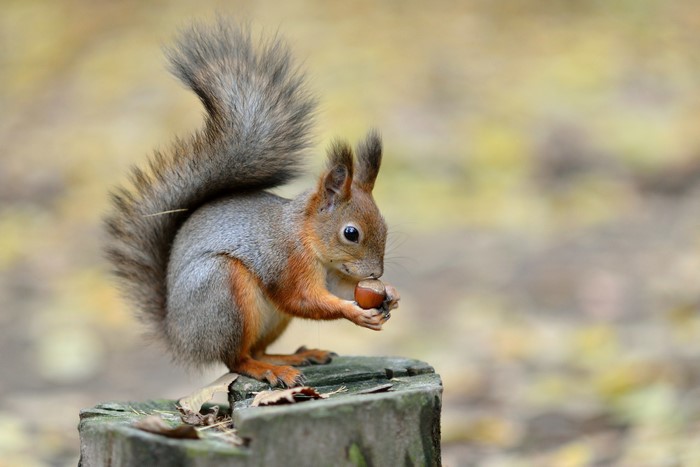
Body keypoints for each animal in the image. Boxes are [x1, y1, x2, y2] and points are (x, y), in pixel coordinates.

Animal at [104, 21, 399, 388]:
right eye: (351, 233)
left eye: (385, 226)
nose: (376, 274)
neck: (304, 235)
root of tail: (180, 338)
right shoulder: (286, 262)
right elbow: (302, 299)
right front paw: (355, 313)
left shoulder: (331, 274)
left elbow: (339, 289)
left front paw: (390, 293)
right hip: (223, 293)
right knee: (236, 359)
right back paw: (269, 370)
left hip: (270, 320)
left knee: (256, 349)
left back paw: (293, 357)